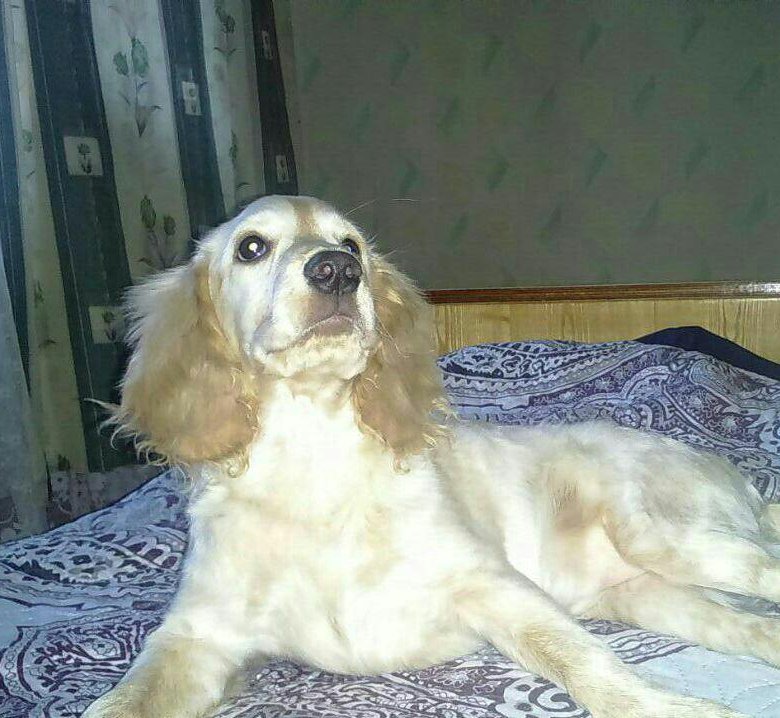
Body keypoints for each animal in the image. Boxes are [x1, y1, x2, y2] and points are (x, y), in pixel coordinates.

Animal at [84, 195, 780, 718]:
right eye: (251, 247)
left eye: (353, 245)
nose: (337, 271)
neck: (312, 468)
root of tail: (739, 480)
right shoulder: (194, 638)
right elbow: (118, 703)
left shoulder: (494, 585)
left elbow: (590, 666)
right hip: (649, 592)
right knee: (754, 627)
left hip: (668, 537)